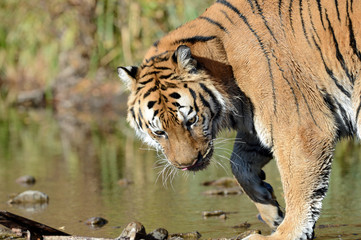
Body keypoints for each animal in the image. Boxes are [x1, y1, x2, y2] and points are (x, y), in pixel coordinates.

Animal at [117, 0, 360, 239]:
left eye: (191, 121)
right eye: (160, 132)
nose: (188, 165)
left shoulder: (300, 128)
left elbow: (298, 186)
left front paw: (286, 232)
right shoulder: (258, 126)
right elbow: (238, 164)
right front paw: (270, 209)